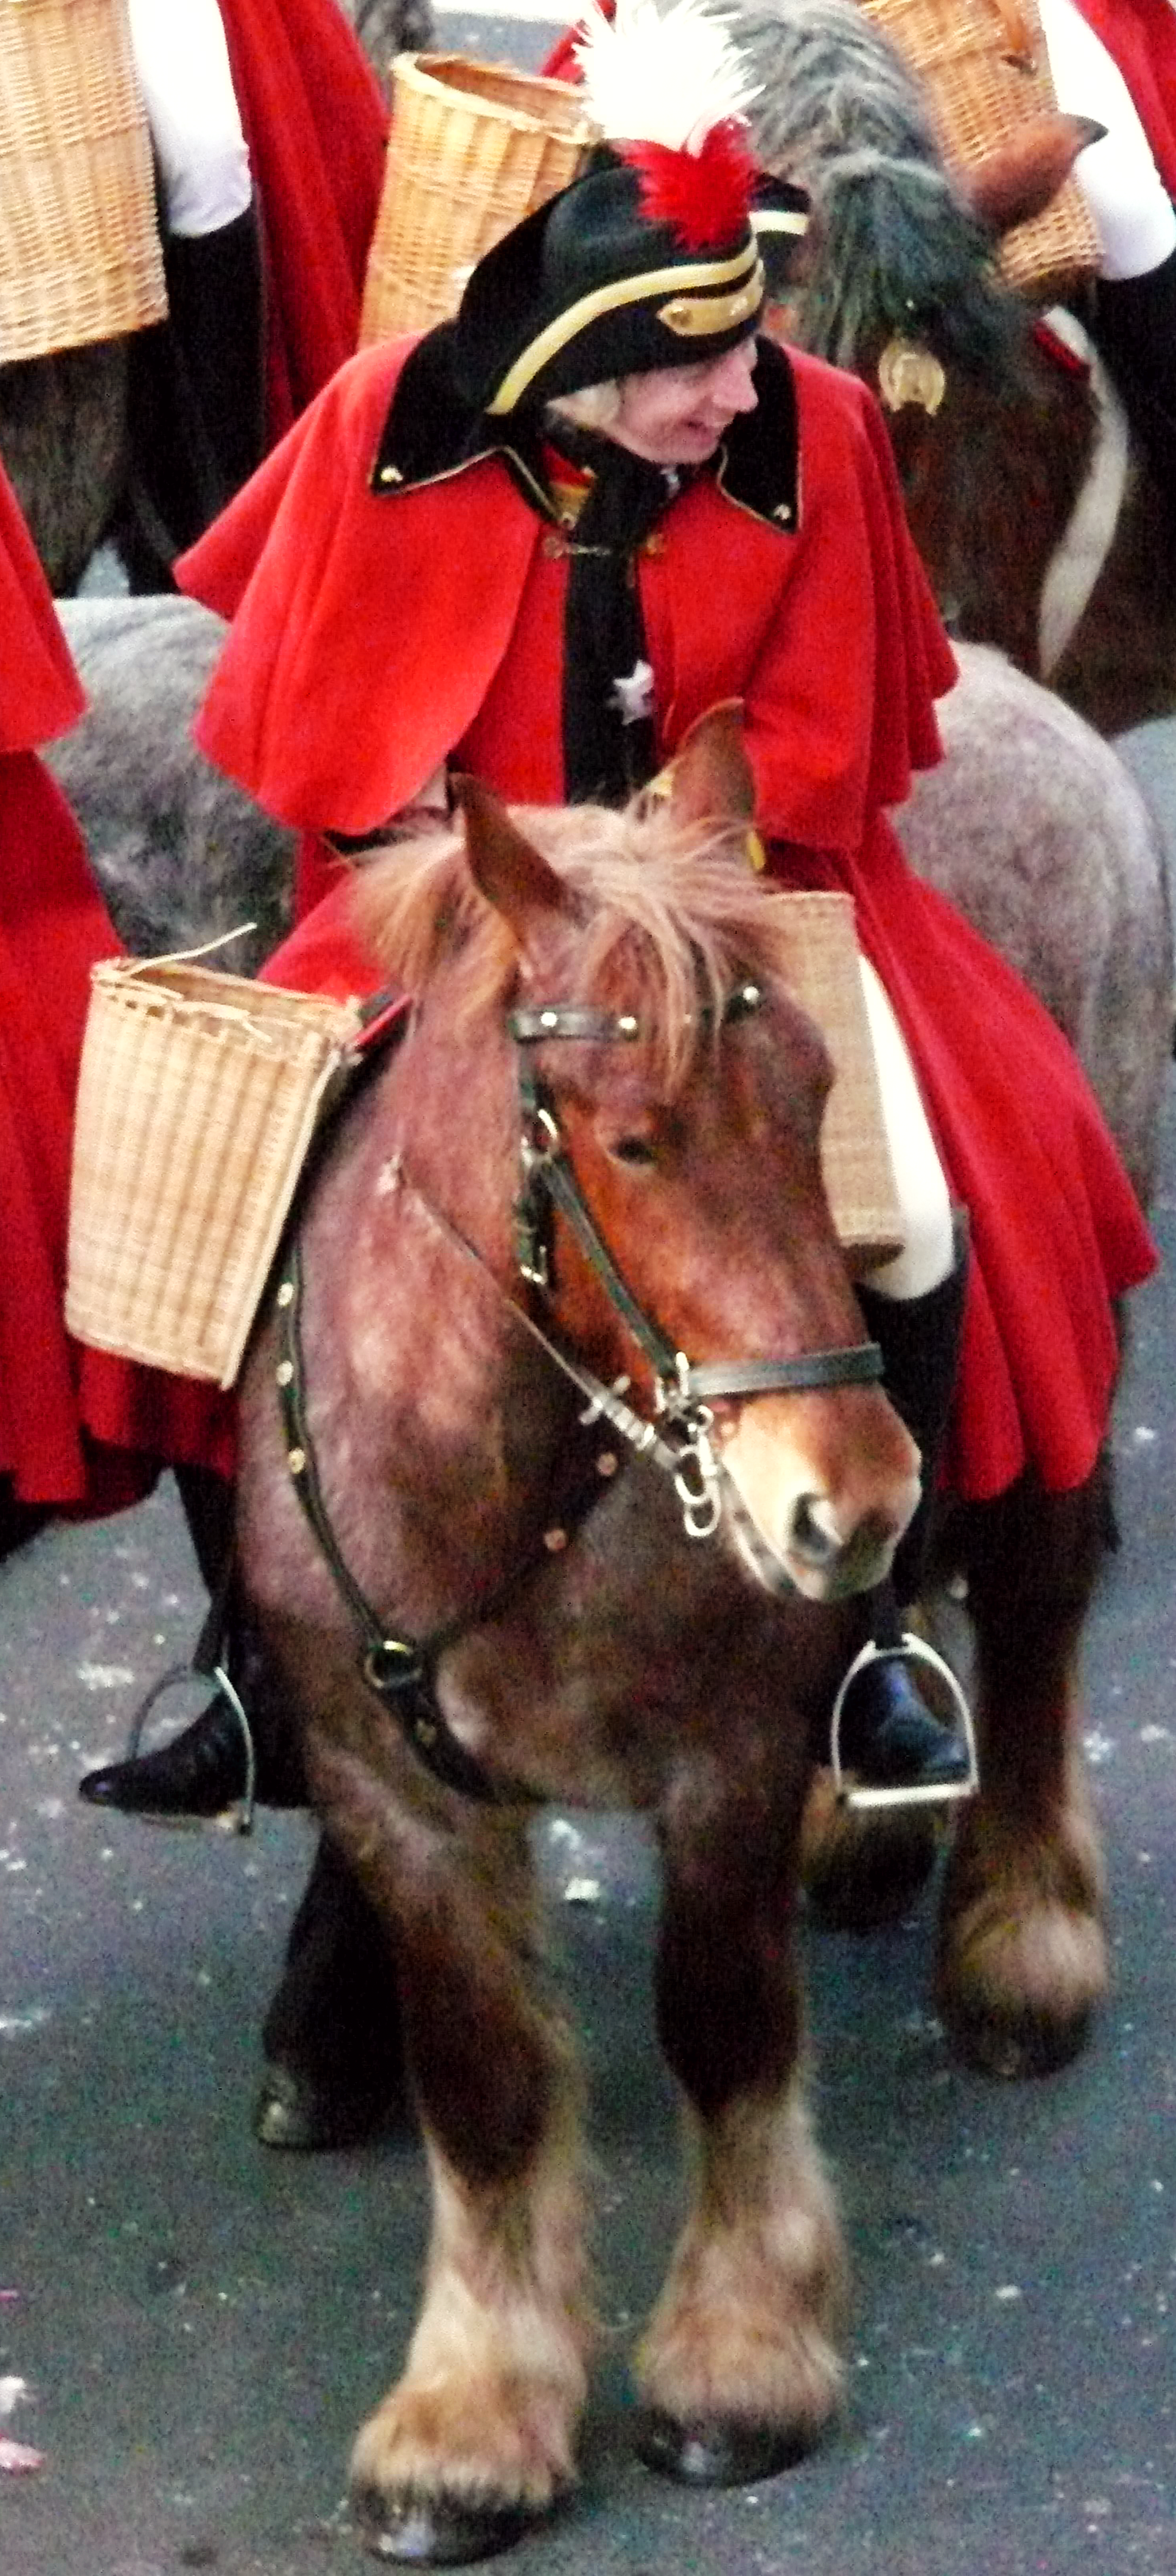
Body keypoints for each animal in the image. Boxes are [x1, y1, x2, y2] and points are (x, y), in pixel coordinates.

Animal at [210, 706, 1133, 2560]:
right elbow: (484, 2082)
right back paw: (867, 1821)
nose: (848, 1494)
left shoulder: (720, 1762)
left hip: (1051, 1397)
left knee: (1034, 1623)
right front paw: (470, 2413)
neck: (516, 1482)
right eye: (627, 1140)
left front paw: (736, 2354)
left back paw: (1021, 1939)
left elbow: (721, 2028)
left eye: (820, 1097)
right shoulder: (392, 1793)